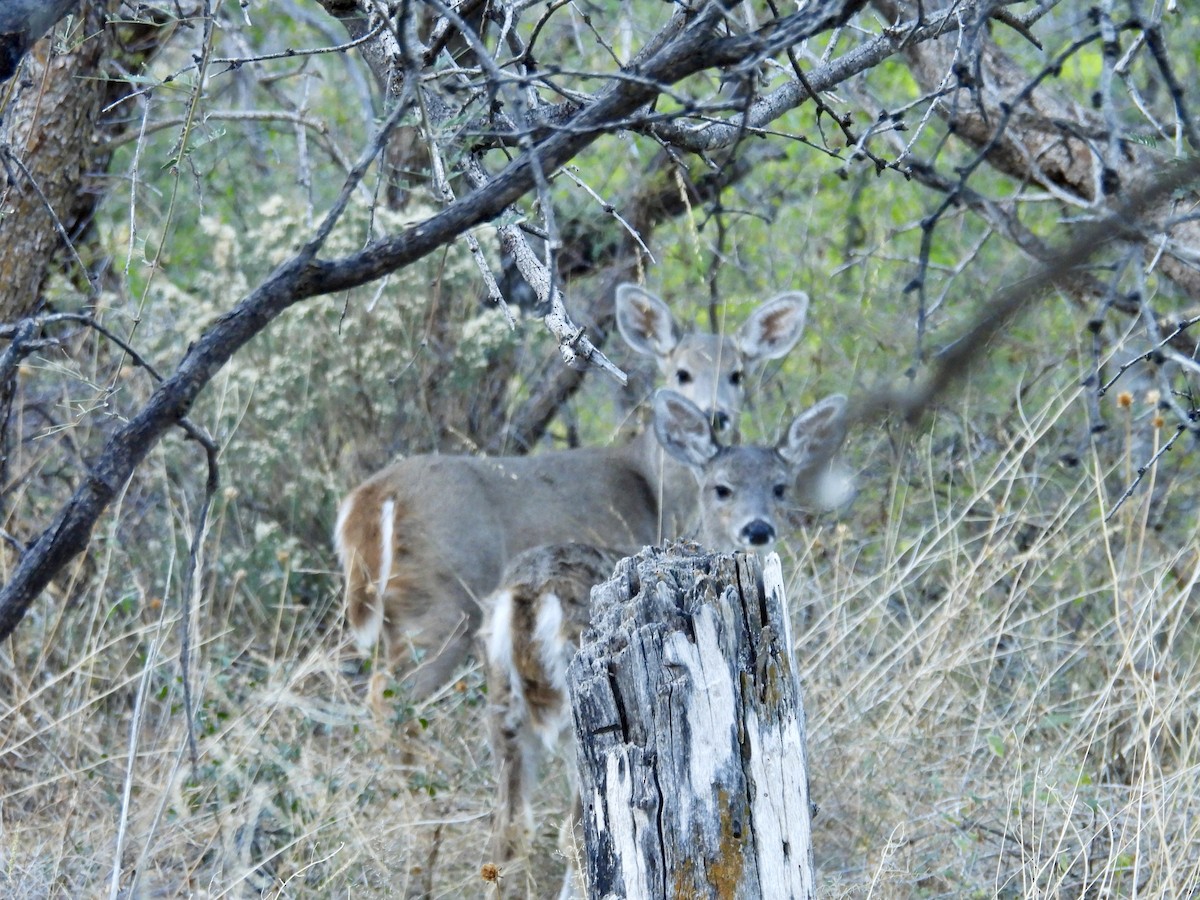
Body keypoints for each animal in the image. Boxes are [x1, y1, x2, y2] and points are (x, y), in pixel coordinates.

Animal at [333, 284, 809, 700]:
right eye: (683, 373)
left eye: (737, 374)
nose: (716, 415)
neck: (654, 488)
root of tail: (366, 502)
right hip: (443, 599)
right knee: (388, 695)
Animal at [480, 388, 849, 897]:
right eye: (721, 488)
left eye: (780, 487)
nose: (757, 529)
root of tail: (530, 591)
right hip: (589, 718)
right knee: (575, 832)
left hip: (503, 704)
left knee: (507, 834)